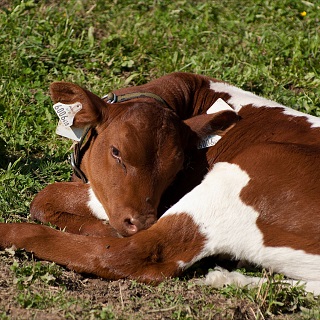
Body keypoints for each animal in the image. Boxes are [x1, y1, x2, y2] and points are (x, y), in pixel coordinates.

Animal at [0, 73, 320, 296]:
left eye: (178, 167)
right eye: (116, 152)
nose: (140, 222)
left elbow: (46, 195)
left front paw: (102, 229)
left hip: (252, 167)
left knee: (130, 254)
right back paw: (226, 278)